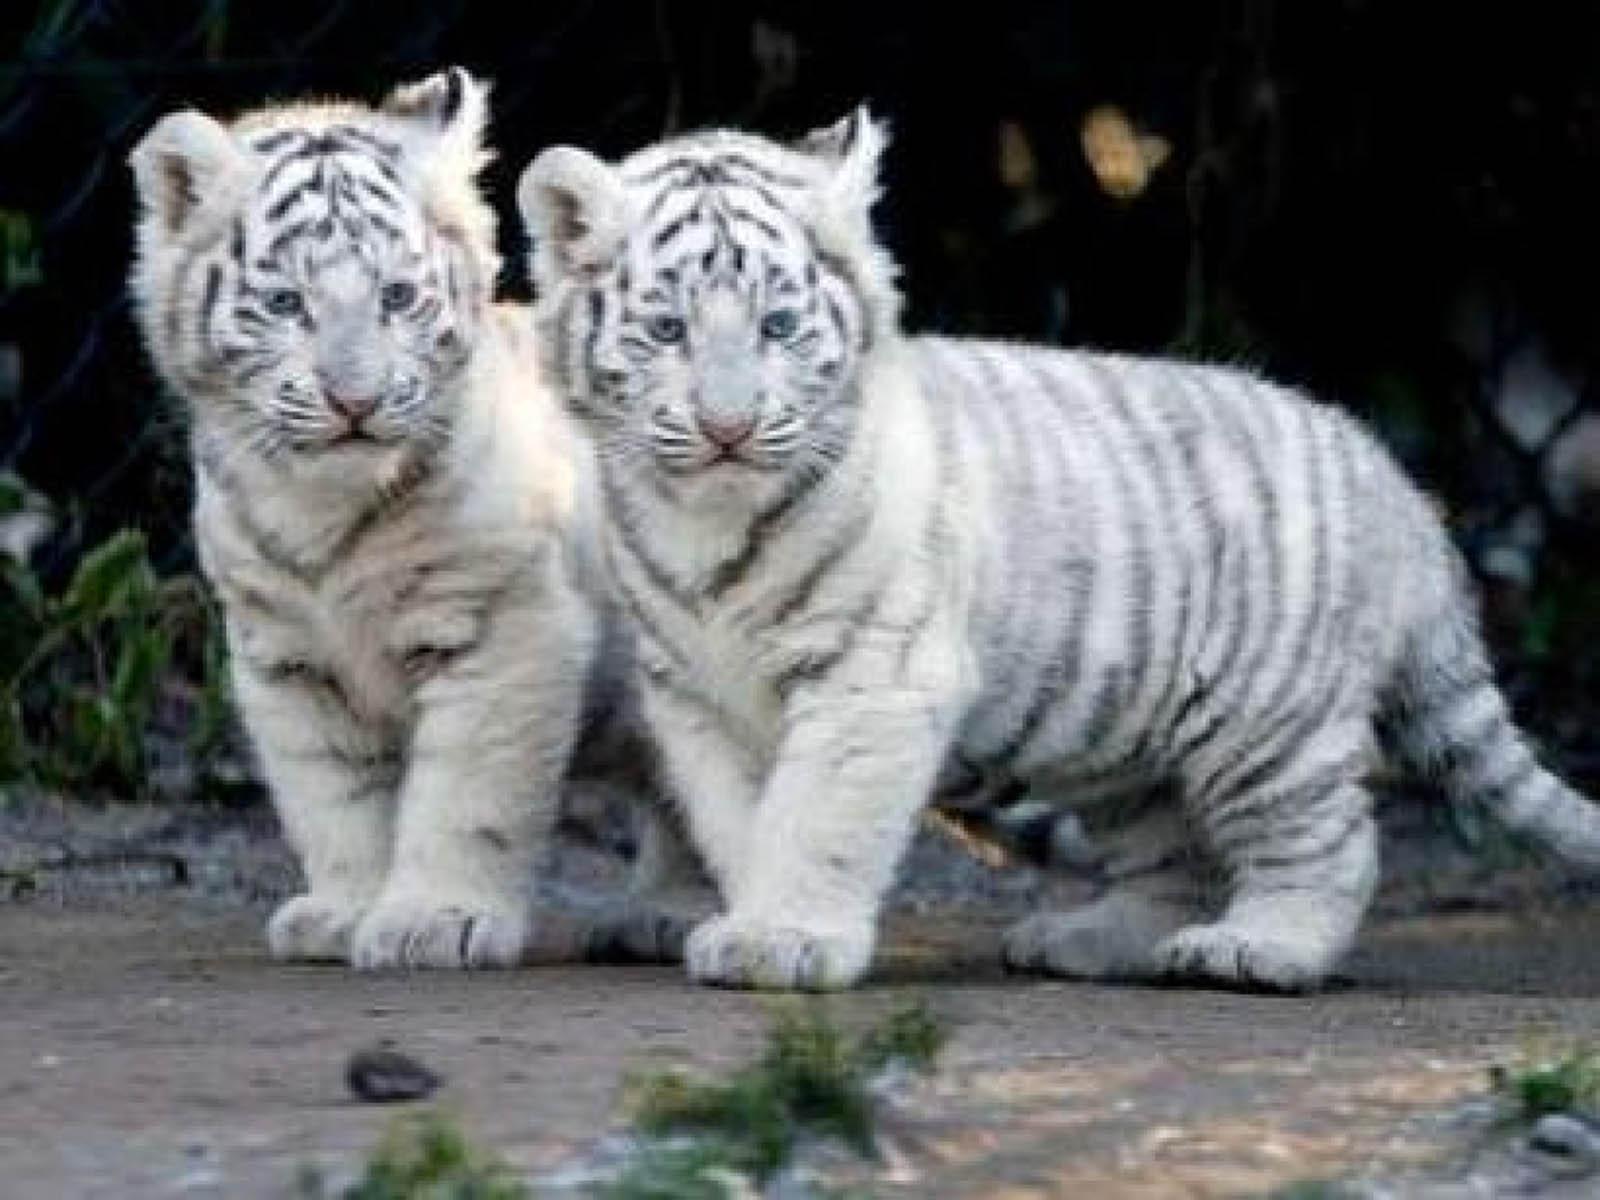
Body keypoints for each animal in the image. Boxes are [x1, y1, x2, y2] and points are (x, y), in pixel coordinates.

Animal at [127, 67, 703, 969]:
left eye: (396, 296)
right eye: (285, 303)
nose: (354, 402)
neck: (322, 510)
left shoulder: (504, 628)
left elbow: (466, 792)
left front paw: (438, 921)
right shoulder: (285, 658)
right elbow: (332, 800)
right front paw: (342, 913)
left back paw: (671, 915)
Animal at [514, 107, 1600, 992]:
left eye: (779, 326)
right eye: (666, 331)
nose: (729, 428)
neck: (707, 525)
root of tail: (1397, 487)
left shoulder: (874, 678)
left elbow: (818, 816)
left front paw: (785, 939)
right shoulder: (698, 695)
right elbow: (740, 820)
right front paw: (747, 918)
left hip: (1268, 722)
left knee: (1327, 844)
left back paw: (1259, 949)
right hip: (1124, 737)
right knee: (1173, 856)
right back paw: (1093, 940)